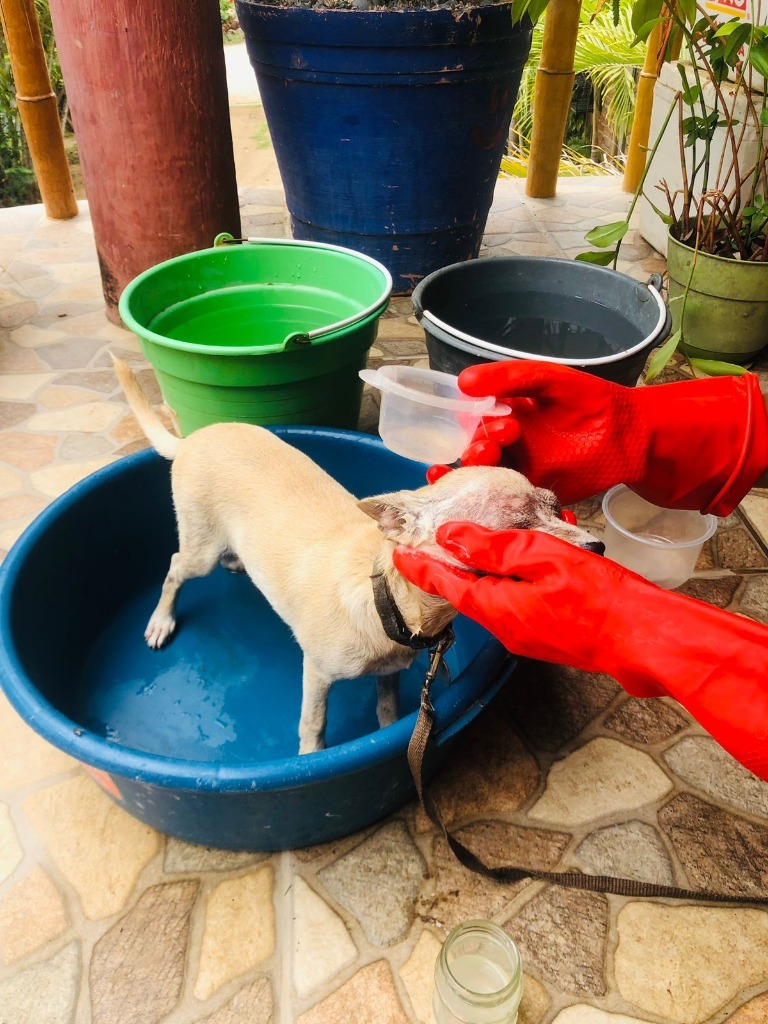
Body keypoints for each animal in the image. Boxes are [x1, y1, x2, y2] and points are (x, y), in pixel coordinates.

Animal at [112, 358, 606, 753]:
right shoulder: (316, 673)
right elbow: (314, 724)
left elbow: (386, 708)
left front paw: (386, 731)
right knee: (175, 569)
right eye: (515, 529)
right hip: (200, 550)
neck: (389, 598)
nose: (598, 548)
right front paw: (309, 758)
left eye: (554, 507)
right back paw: (161, 620)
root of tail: (191, 439)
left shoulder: (389, 671)